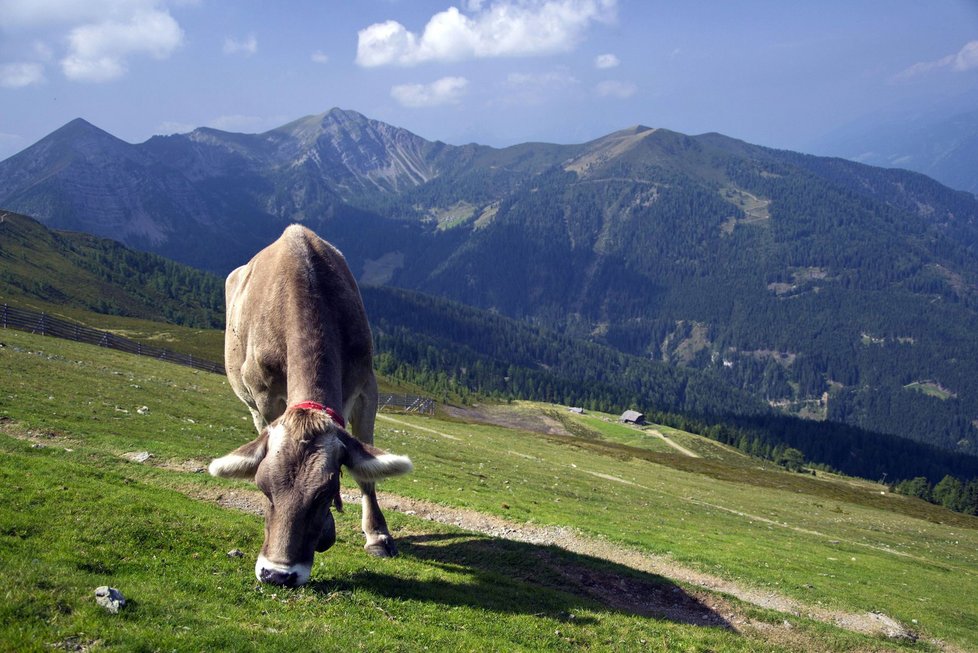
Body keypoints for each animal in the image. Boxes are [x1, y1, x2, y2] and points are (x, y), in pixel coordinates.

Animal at [210, 224, 412, 584]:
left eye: (324, 493)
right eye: (262, 487)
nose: (278, 574)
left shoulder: (366, 386)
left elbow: (366, 471)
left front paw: (378, 536)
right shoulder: (265, 396)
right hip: (250, 400)